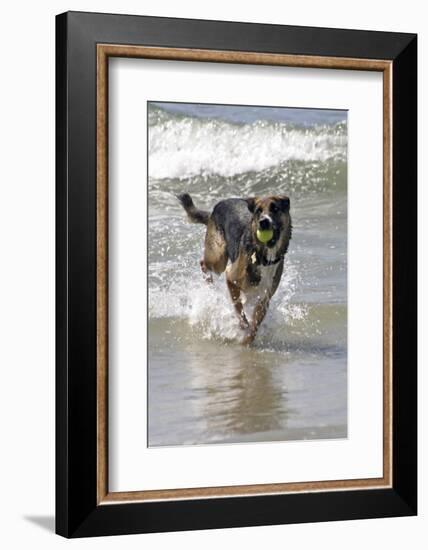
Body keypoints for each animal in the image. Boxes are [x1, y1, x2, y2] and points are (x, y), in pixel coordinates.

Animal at [176, 194, 290, 344]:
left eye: (275, 209)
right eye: (258, 211)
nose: (263, 222)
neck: (263, 257)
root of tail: (218, 205)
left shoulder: (264, 298)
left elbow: (255, 325)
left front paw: (247, 340)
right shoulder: (230, 277)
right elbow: (238, 307)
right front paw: (242, 325)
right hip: (218, 258)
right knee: (203, 263)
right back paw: (209, 285)